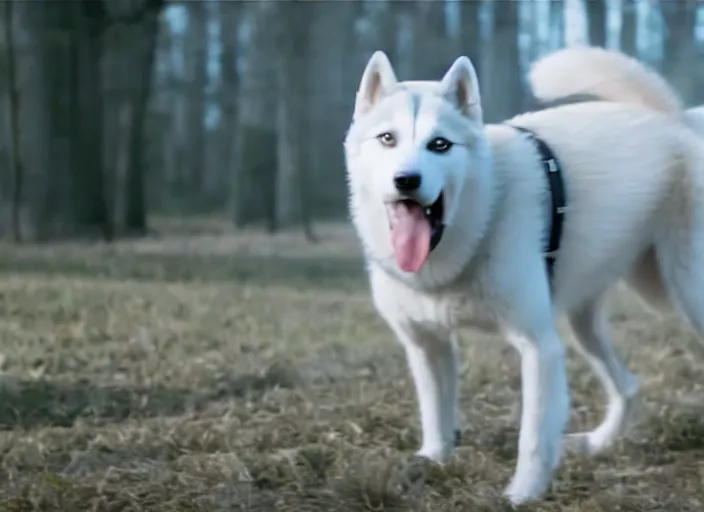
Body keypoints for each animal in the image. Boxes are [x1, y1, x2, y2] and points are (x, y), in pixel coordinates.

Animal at [344, 47, 704, 504]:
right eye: (387, 138)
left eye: (439, 144)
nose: (407, 180)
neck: (483, 213)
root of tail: (678, 122)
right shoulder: (427, 345)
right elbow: (436, 413)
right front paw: (432, 460)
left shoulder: (539, 348)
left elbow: (532, 437)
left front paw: (521, 496)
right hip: (584, 326)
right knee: (628, 386)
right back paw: (598, 443)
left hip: (690, 294)